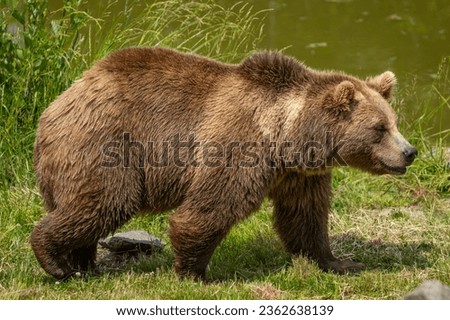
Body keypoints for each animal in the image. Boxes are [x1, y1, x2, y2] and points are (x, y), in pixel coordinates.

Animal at [32, 47, 418, 280]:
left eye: (394, 122)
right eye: (379, 128)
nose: (409, 152)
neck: (287, 135)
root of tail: (57, 103)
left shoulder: (297, 173)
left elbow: (305, 216)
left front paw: (341, 261)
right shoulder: (238, 146)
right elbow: (212, 207)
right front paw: (195, 273)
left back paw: (82, 265)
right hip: (107, 144)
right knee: (106, 200)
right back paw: (55, 261)